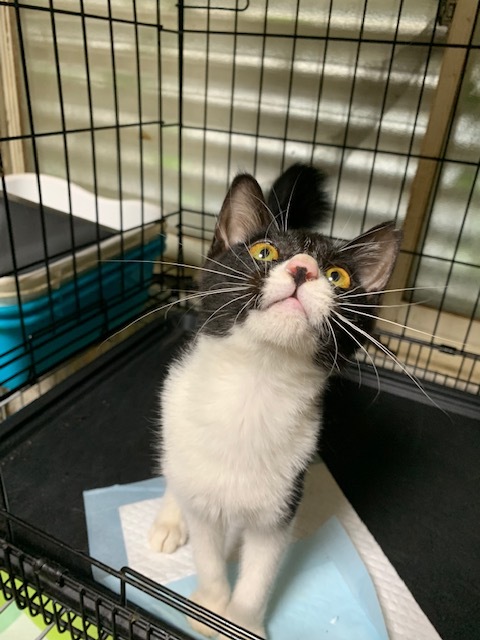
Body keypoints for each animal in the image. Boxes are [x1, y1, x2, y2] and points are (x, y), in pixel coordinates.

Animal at [149, 163, 402, 639]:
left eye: (338, 276)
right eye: (264, 251)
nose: (303, 270)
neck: (254, 386)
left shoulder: (282, 499)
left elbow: (261, 569)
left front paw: (240, 621)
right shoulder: (204, 499)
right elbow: (208, 550)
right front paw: (210, 608)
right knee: (176, 471)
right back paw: (170, 518)